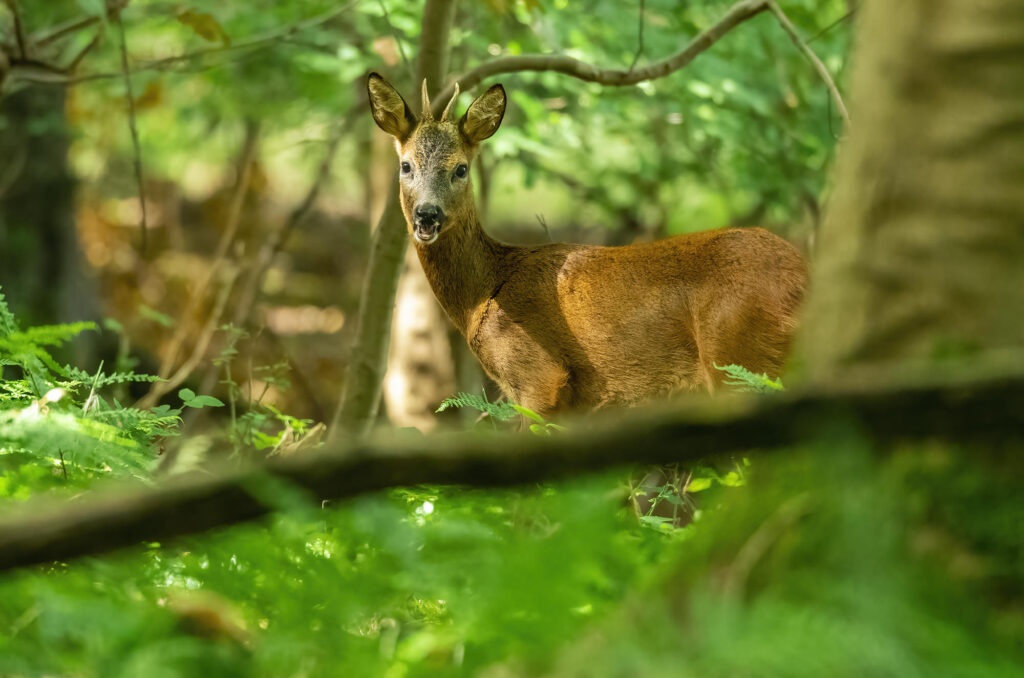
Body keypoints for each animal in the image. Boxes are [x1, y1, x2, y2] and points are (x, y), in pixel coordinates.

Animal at [368, 71, 806, 417]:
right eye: (406, 165)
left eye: (460, 169)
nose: (427, 215)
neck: (486, 294)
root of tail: (805, 276)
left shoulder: (540, 378)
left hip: (738, 356)